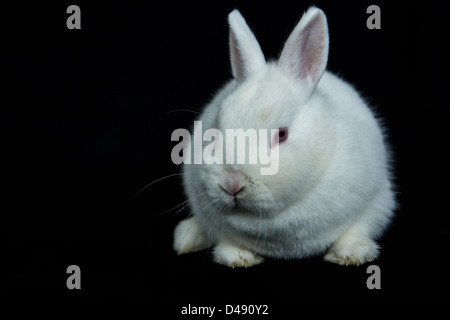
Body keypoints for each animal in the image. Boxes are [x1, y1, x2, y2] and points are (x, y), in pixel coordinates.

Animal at [172, 7, 394, 268]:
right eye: (216, 128)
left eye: (282, 134)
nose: (232, 183)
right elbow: (227, 240)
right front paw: (237, 257)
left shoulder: (376, 201)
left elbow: (358, 229)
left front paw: (350, 254)